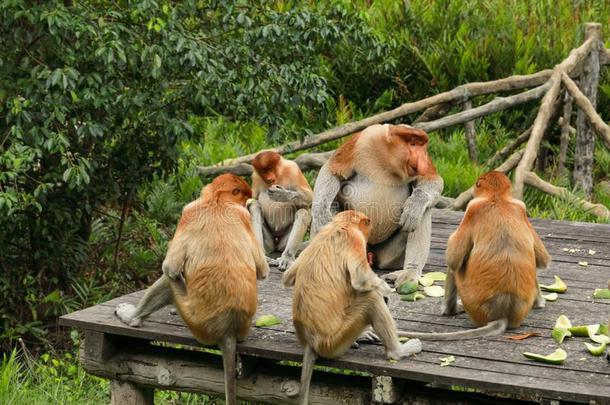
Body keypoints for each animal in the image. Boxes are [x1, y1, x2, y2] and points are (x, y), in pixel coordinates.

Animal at [282, 210, 420, 402]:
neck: (340, 224)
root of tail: (311, 342)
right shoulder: (355, 239)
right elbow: (361, 280)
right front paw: (386, 291)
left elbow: (288, 277)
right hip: (334, 341)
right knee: (371, 299)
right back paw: (397, 351)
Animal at [312, 124, 440, 286]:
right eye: (413, 144)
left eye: (422, 146)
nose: (422, 158)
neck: (389, 162)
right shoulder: (361, 140)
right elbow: (333, 170)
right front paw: (321, 214)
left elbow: (431, 180)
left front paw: (414, 206)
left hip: (387, 255)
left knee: (424, 211)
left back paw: (409, 273)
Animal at [396, 171, 548, 340]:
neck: (497, 198)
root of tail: (502, 313)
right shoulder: (521, 207)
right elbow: (543, 259)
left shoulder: (472, 209)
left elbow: (453, 259)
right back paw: (539, 303)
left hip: (472, 303)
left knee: (454, 268)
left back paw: (449, 310)